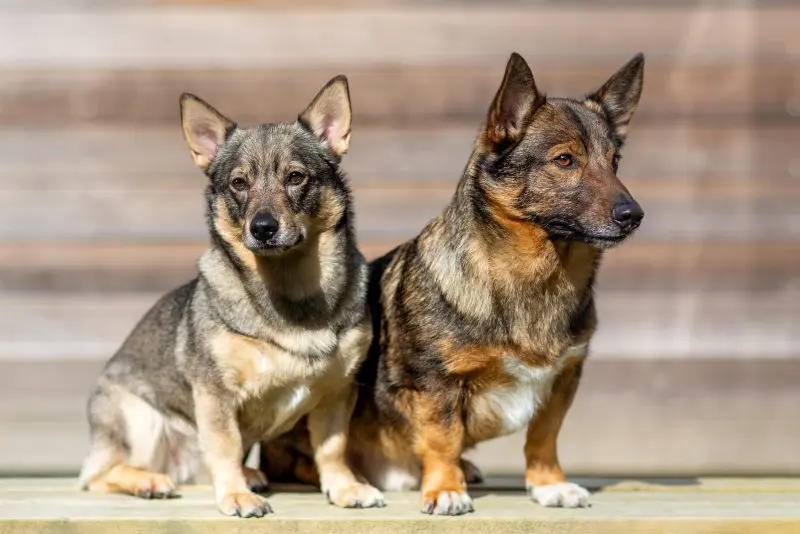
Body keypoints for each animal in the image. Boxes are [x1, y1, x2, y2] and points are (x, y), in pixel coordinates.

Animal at [77, 75, 384, 520]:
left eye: (296, 177)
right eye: (239, 183)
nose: (263, 227)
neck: (290, 290)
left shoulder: (337, 392)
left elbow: (332, 448)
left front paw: (345, 488)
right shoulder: (215, 393)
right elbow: (225, 445)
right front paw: (237, 496)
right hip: (139, 419)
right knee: (98, 475)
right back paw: (150, 482)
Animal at [260, 52, 648, 516]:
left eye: (615, 162)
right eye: (565, 160)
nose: (634, 215)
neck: (540, 277)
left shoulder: (563, 380)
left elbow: (544, 436)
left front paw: (549, 484)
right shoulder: (435, 383)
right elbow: (443, 437)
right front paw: (445, 489)